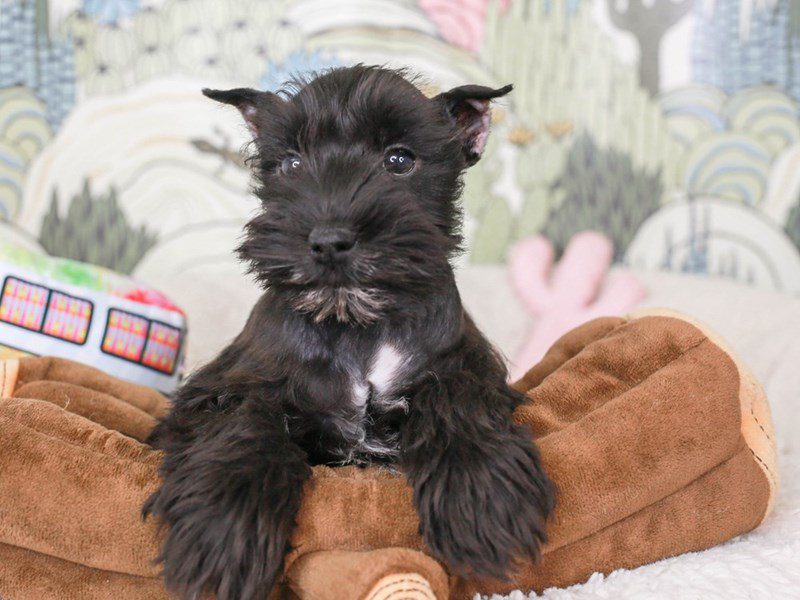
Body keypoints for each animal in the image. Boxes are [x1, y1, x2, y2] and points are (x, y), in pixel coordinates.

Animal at [144, 65, 556, 600]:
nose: (328, 241)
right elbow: (245, 418)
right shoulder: (219, 390)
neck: (359, 328)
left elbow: (457, 397)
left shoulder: (465, 364)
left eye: (399, 160)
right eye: (292, 163)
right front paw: (221, 528)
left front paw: (480, 496)